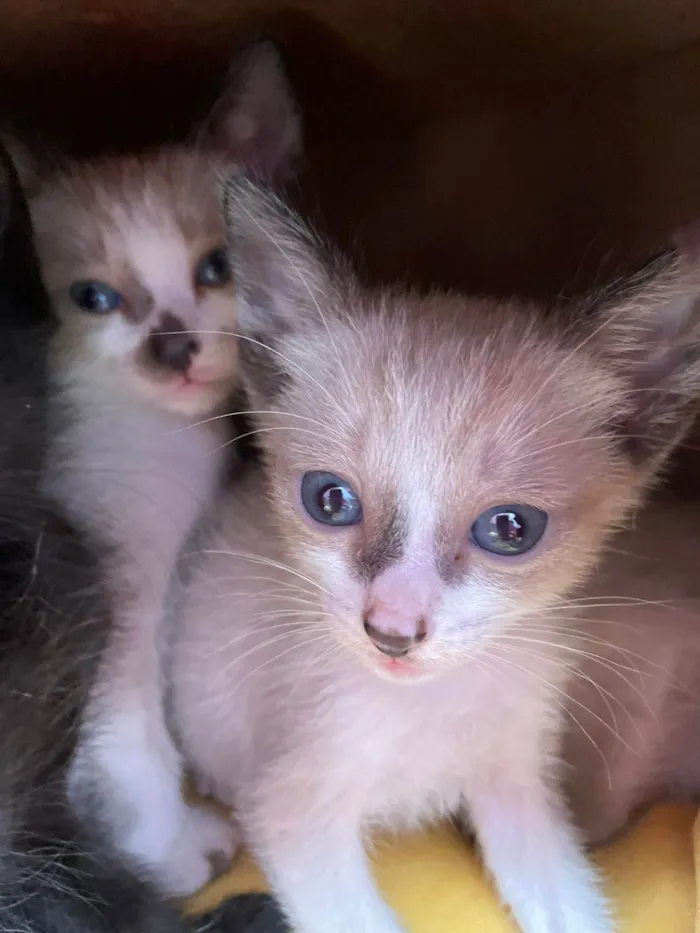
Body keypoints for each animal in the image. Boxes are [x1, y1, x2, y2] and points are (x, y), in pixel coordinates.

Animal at [17, 43, 300, 896]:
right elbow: (125, 744)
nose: (173, 347)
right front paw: (169, 850)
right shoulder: (113, 593)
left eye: (217, 267)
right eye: (93, 297)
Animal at [163, 177, 700, 932]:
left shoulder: (517, 788)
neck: (427, 710)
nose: (391, 629)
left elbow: (568, 904)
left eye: (511, 529)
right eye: (330, 500)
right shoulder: (293, 810)